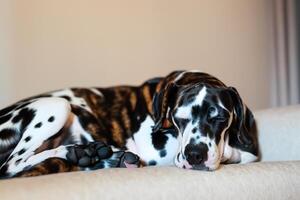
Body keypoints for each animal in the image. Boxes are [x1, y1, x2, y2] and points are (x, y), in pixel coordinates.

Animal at [0, 70, 258, 178]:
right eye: (178, 116)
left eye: (220, 118)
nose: (195, 156)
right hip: (57, 105)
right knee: (11, 165)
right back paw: (80, 152)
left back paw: (98, 155)